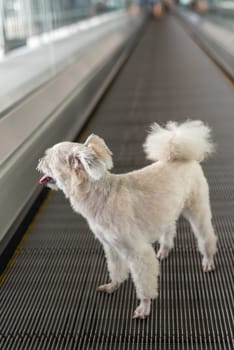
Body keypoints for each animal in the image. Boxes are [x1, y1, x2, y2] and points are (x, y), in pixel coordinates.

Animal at [37, 121, 218, 320]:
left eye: (48, 159)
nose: (39, 162)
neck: (101, 197)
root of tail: (180, 156)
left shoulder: (137, 252)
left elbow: (143, 282)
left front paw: (144, 307)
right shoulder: (111, 247)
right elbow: (116, 270)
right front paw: (113, 286)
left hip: (197, 208)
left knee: (206, 236)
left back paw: (208, 260)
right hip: (168, 209)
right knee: (169, 228)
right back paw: (164, 249)